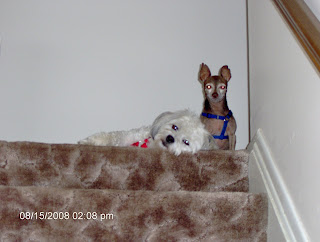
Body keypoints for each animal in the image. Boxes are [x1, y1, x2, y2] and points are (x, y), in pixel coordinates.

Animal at [78, 109, 218, 155]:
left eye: (186, 142)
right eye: (175, 127)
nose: (170, 138)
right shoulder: (129, 137)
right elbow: (111, 136)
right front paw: (87, 141)